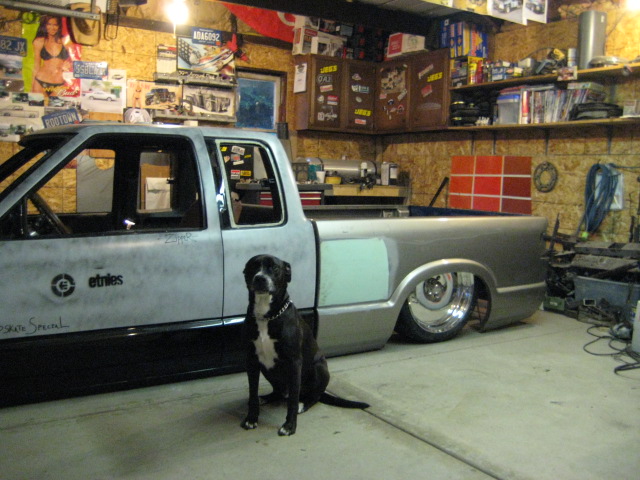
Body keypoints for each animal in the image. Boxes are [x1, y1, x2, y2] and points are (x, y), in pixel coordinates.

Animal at [240, 254, 369, 436]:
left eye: (275, 268)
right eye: (253, 266)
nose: (260, 278)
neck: (266, 316)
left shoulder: (294, 363)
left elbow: (293, 400)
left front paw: (289, 426)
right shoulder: (251, 360)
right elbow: (252, 393)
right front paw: (251, 419)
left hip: (319, 369)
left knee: (312, 397)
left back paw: (304, 404)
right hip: (268, 369)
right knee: (279, 392)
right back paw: (265, 397)